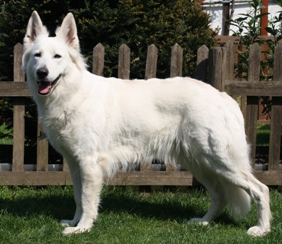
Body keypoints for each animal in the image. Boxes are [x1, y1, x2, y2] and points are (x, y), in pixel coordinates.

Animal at [23, 11, 272, 236]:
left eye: (57, 57)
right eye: (37, 55)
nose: (42, 73)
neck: (73, 93)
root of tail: (222, 96)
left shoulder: (89, 164)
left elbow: (87, 199)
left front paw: (82, 228)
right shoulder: (75, 164)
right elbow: (78, 198)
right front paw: (74, 222)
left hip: (221, 162)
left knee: (261, 189)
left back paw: (261, 229)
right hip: (200, 164)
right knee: (220, 196)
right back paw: (203, 222)